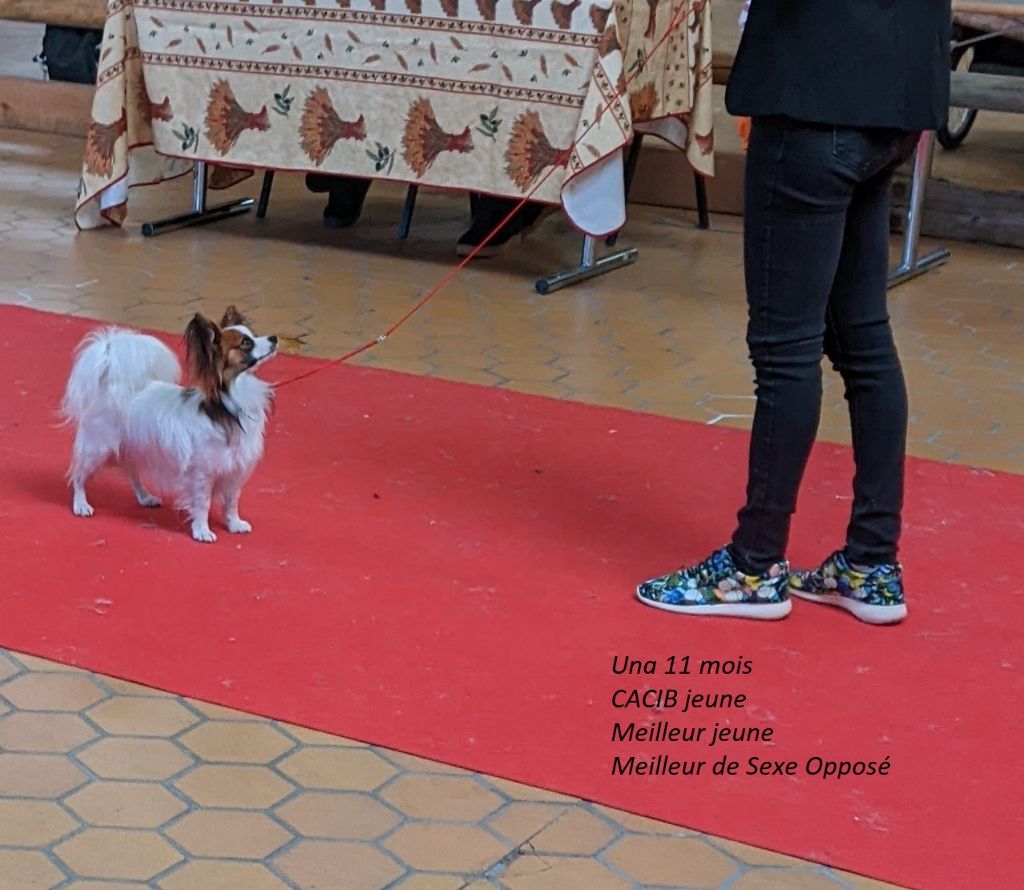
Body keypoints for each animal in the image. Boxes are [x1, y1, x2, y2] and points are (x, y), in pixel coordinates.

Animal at [62, 306, 277, 542]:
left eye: (255, 335)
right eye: (246, 343)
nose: (274, 338)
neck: (229, 404)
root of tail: (110, 382)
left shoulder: (234, 470)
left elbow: (231, 502)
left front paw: (234, 524)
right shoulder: (202, 473)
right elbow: (203, 503)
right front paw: (202, 530)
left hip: (133, 447)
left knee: (131, 472)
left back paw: (145, 497)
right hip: (98, 447)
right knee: (79, 474)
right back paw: (81, 504)